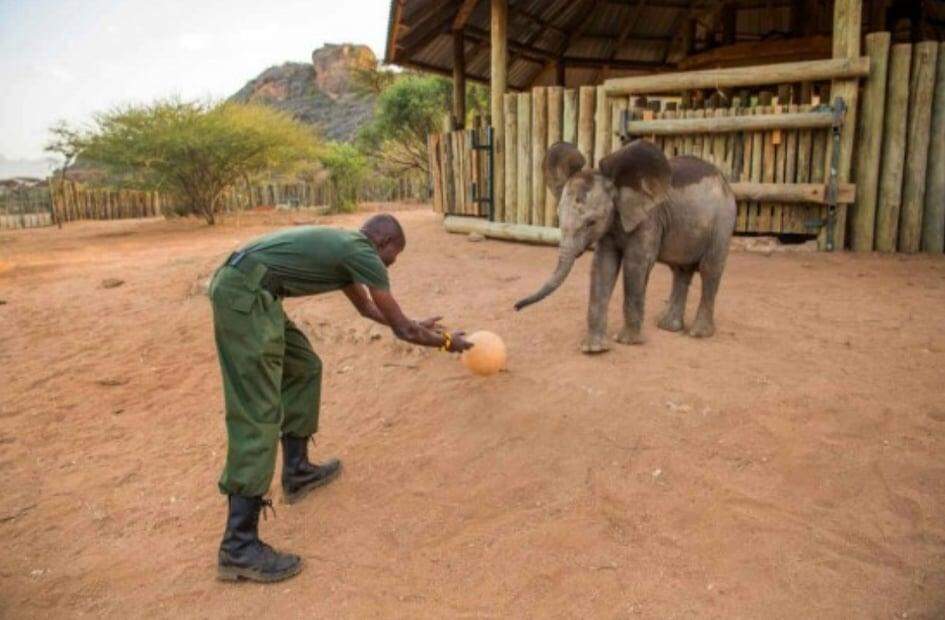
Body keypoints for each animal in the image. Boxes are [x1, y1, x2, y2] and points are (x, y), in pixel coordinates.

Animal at [516, 140, 736, 354]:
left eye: (591, 223)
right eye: (558, 216)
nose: (516, 307)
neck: (617, 185)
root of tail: (725, 181)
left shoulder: (649, 219)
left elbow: (635, 264)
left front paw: (627, 342)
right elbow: (603, 265)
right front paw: (594, 349)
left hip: (723, 222)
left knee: (710, 269)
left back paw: (699, 333)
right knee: (680, 271)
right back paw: (667, 326)